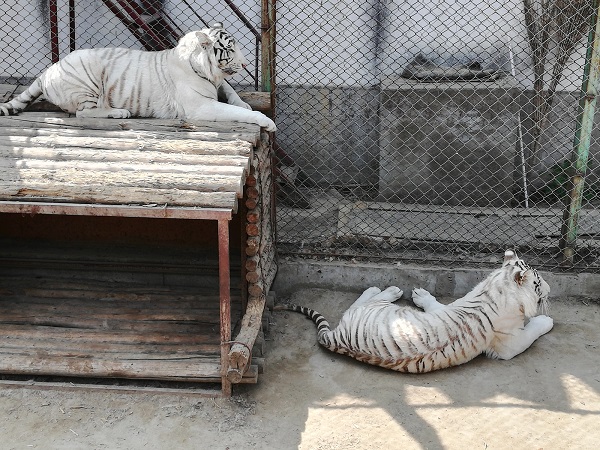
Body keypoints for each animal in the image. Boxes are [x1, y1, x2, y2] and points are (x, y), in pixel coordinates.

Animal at [0, 23, 276, 132]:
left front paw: (245, 102)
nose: (244, 63)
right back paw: (118, 112)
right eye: (229, 49)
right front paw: (265, 121)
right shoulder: (200, 106)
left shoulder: (219, 84)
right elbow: (238, 112)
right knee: (83, 113)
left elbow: (232, 93)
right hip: (87, 80)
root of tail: (48, 70)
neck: (207, 71)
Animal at [276, 250, 552, 372]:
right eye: (538, 282)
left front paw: (421, 294)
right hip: (375, 309)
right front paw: (546, 319)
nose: (550, 289)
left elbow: (436, 305)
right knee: (362, 302)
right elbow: (532, 331)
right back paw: (386, 288)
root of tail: (334, 338)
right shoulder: (509, 344)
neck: (495, 288)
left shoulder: (451, 307)